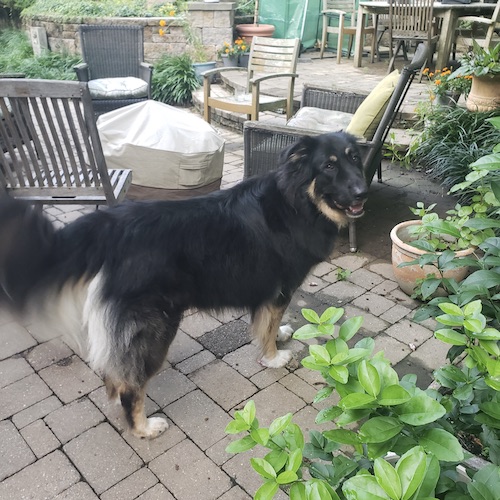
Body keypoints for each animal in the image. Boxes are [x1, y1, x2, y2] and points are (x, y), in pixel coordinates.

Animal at [0, 132, 368, 438]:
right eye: (329, 166)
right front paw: (273, 356)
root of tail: (113, 226)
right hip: (156, 326)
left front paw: (278, 335)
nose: (363, 192)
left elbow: (269, 322)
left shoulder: (272, 293)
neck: (297, 201)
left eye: (355, 159)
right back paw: (144, 428)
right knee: (131, 384)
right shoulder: (280, 287)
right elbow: (266, 326)